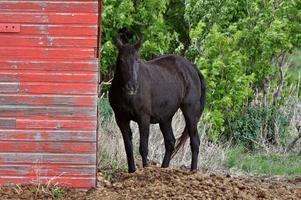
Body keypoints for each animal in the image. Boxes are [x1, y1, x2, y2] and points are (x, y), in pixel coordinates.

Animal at [109, 39, 205, 173]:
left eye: (137, 60)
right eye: (121, 60)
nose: (132, 87)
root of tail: (193, 68)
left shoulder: (143, 118)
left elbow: (143, 148)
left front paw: (145, 170)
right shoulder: (121, 119)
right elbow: (128, 148)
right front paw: (132, 171)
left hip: (190, 112)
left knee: (194, 141)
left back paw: (193, 171)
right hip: (165, 118)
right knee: (170, 142)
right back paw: (164, 168)